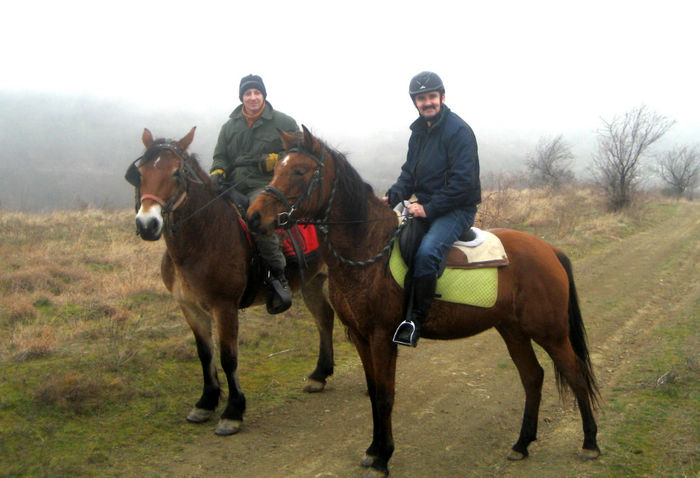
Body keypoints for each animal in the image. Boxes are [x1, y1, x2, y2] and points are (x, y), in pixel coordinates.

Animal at [128, 127, 336, 436]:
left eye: (176, 173)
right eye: (139, 173)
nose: (147, 224)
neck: (202, 236)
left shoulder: (224, 306)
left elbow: (228, 357)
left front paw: (233, 411)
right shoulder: (190, 307)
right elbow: (205, 354)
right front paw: (206, 401)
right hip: (311, 283)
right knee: (324, 319)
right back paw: (320, 374)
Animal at [247, 127, 600, 478]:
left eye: (299, 171)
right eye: (276, 168)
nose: (253, 216)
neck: (368, 249)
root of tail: (549, 250)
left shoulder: (381, 337)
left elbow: (385, 396)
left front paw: (383, 458)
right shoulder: (360, 336)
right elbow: (373, 393)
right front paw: (373, 450)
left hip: (550, 333)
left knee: (575, 373)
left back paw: (589, 443)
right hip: (512, 330)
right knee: (532, 377)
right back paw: (522, 444)